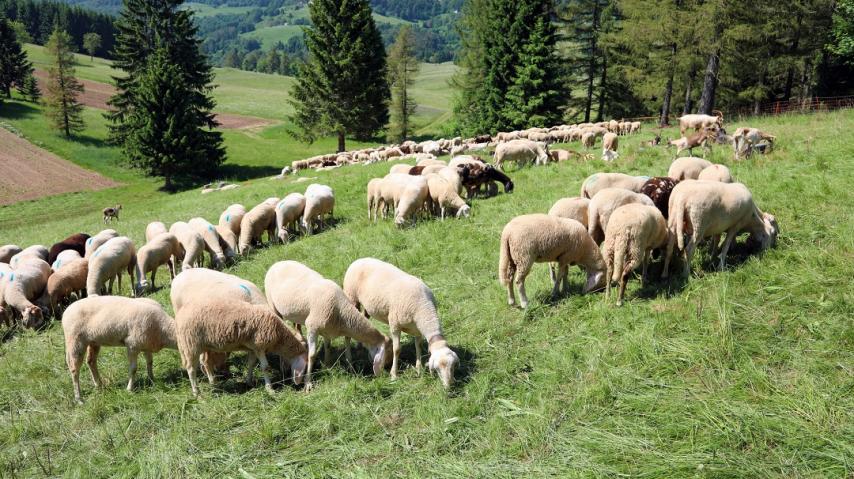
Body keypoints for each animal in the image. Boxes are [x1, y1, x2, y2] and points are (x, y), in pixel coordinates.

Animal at [176, 300, 307, 396]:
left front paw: (249, 381)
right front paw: (270, 389)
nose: (299, 384)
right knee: (191, 369)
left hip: (204, 346)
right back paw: (197, 393)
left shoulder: (253, 348)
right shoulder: (260, 346)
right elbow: (265, 367)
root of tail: (180, 314)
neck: (279, 335)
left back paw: (213, 382)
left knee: (206, 362)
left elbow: (251, 363)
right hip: (191, 345)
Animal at [342, 258, 458, 388]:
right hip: (351, 297)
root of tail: (359, 259)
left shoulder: (417, 329)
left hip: (367, 306)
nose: (450, 386)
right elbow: (397, 349)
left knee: (362, 319)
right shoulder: (395, 325)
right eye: (438, 369)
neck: (423, 308)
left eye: (453, 366)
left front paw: (419, 370)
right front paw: (394, 375)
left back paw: (359, 345)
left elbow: (418, 346)